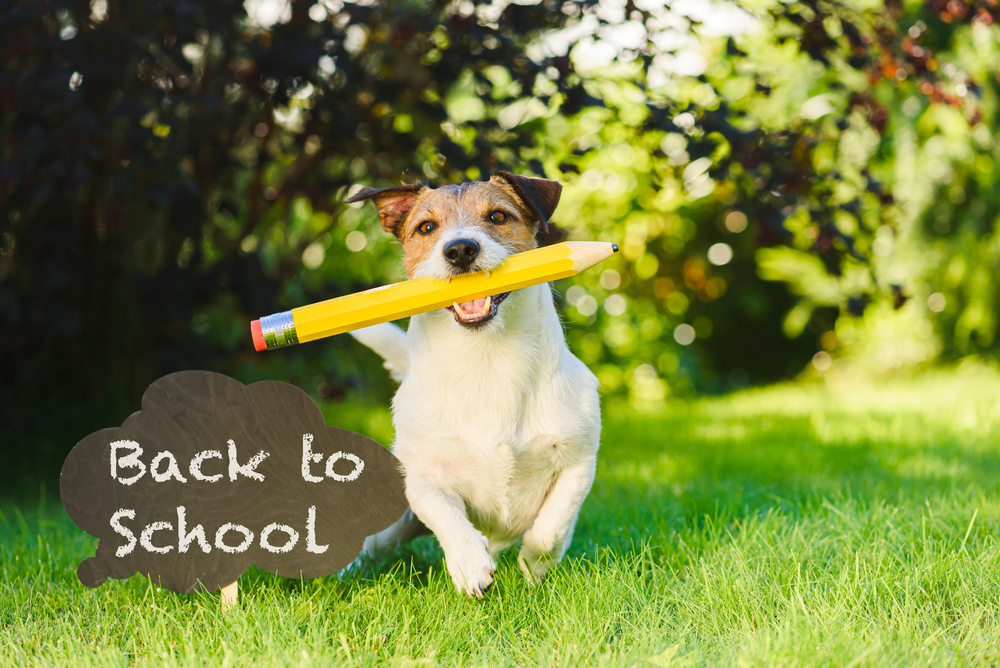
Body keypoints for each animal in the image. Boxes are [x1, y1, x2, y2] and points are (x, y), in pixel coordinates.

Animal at [344, 171, 600, 596]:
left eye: (498, 216)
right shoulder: (422, 476)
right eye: (426, 227)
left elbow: (553, 525)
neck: (487, 360)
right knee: (372, 545)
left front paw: (534, 565)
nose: (461, 249)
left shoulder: (578, 460)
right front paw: (468, 564)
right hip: (394, 517)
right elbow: (447, 516)